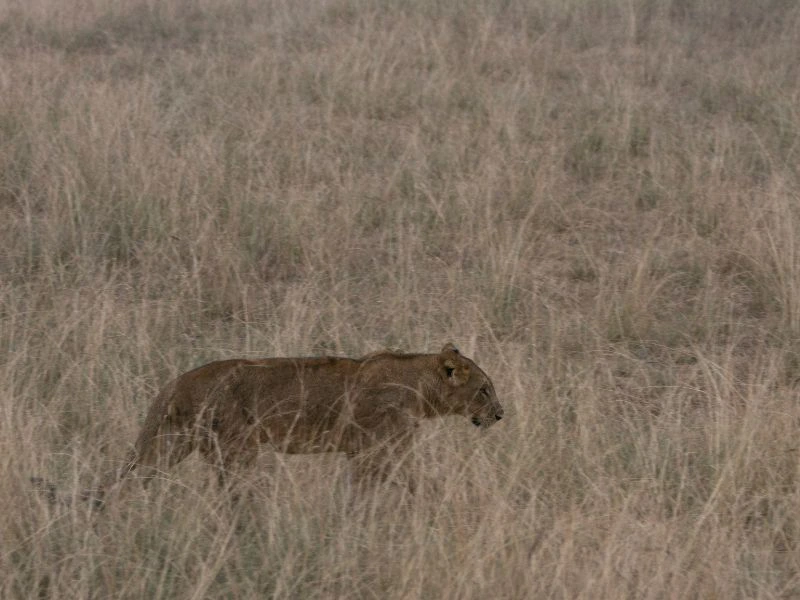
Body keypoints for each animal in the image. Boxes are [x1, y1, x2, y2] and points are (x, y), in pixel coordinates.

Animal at [77, 343, 502, 504]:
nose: (500, 414)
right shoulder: (374, 449)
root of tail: (178, 381)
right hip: (234, 449)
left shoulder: (375, 451)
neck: (421, 388)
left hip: (171, 443)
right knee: (230, 495)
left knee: (135, 477)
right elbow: (408, 483)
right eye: (484, 390)